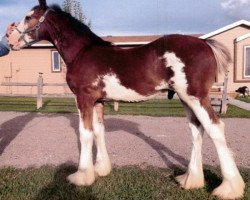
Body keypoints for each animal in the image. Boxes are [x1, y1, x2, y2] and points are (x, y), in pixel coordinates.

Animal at [8, 0, 245, 199]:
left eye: (28, 17)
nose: (10, 40)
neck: (83, 52)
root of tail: (206, 44)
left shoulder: (84, 99)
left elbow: (85, 134)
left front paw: (82, 175)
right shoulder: (98, 102)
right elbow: (98, 131)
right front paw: (101, 169)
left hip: (196, 97)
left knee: (215, 128)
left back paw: (229, 188)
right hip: (186, 100)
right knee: (197, 131)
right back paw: (190, 179)